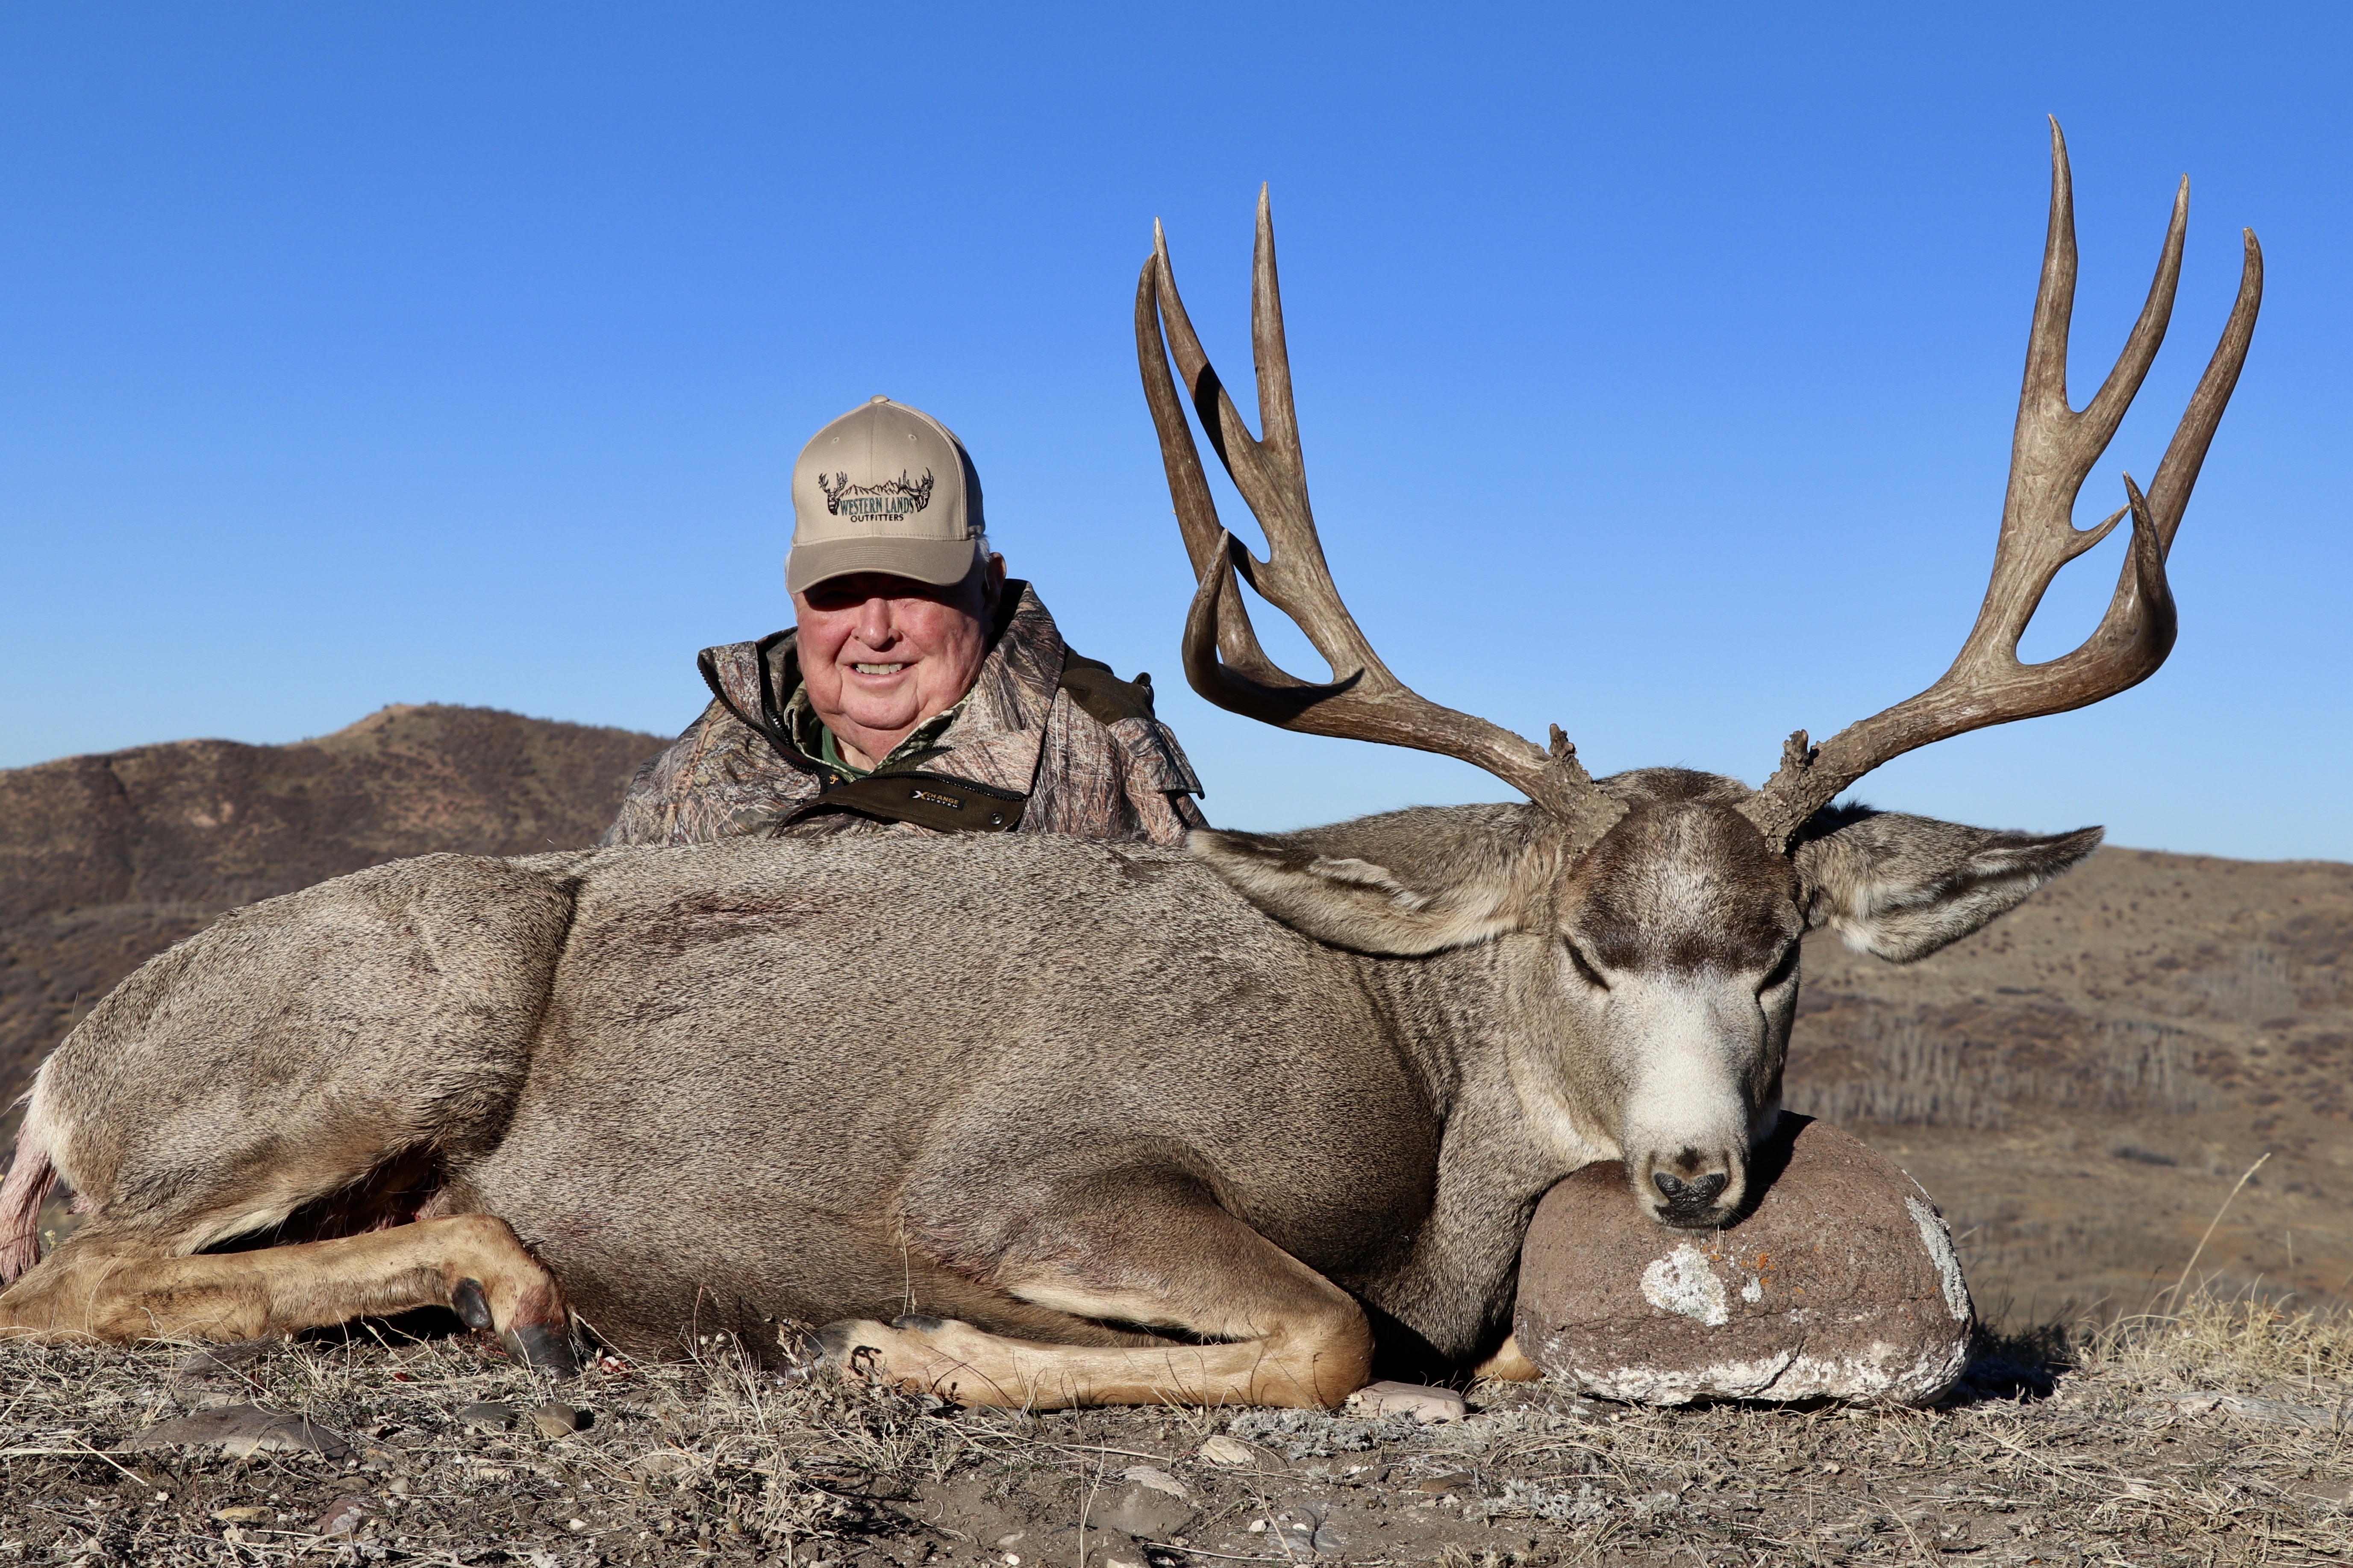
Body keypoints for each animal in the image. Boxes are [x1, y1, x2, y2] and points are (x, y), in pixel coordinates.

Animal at [0, 125, 2259, 1410]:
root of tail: (63, 1072)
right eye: (1583, 947)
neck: (1413, 1073)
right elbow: (1330, 1331)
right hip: (422, 996)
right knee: (74, 1266)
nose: (1698, 1171)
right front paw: (903, 1338)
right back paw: (505, 1281)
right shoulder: (1032, 1164)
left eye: (1784, 950)